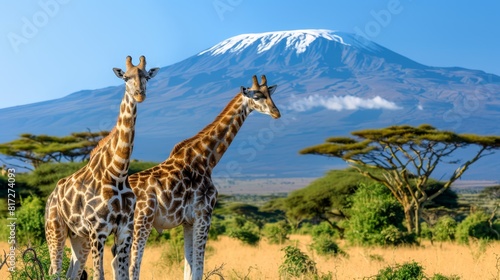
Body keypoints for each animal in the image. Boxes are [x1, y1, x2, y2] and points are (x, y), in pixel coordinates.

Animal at [44, 55, 159, 278]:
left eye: (147, 77)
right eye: (126, 77)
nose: (140, 95)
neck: (117, 172)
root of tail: (50, 197)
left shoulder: (125, 231)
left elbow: (122, 274)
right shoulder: (98, 230)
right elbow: (99, 274)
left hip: (79, 237)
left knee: (72, 273)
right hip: (55, 230)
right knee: (54, 271)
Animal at [127, 75, 280, 280]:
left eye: (270, 94)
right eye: (256, 96)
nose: (276, 112)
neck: (206, 159)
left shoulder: (188, 221)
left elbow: (188, 270)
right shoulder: (204, 214)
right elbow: (198, 270)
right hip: (141, 221)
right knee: (132, 267)